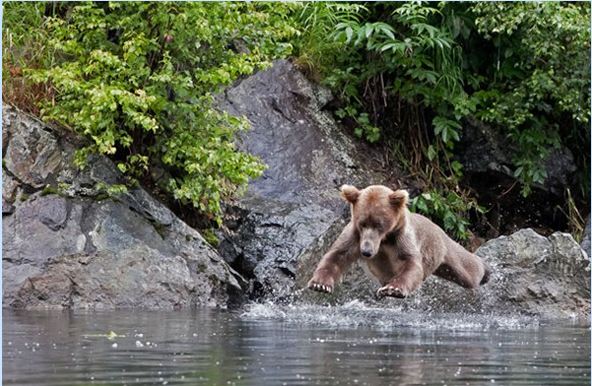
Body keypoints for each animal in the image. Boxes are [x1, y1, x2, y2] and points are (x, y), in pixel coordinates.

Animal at [308, 185, 488, 298]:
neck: (385, 240)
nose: (366, 251)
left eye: (379, 224)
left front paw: (392, 289)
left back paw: (486, 272)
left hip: (444, 248)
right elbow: (337, 255)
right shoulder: (355, 236)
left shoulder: (402, 237)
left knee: (468, 269)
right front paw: (320, 284)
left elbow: (411, 264)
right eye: (362, 223)